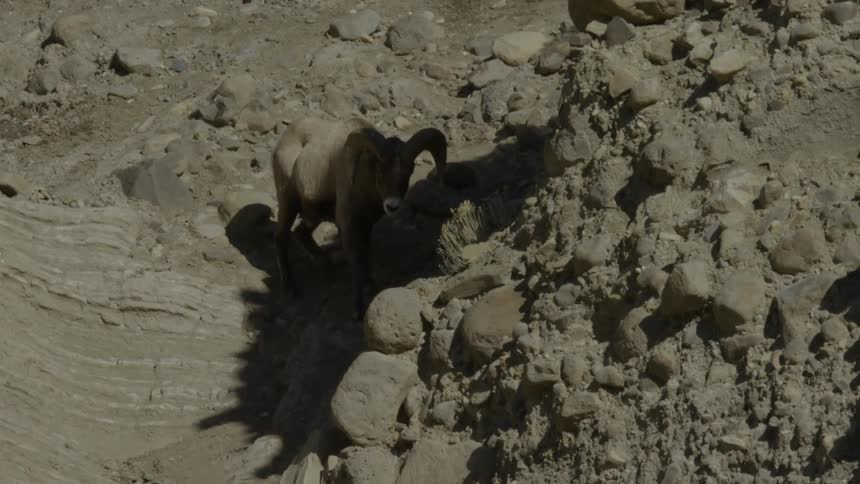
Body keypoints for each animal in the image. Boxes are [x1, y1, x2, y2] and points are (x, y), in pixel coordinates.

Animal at [271, 116, 447, 320]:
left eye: (409, 170)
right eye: (380, 170)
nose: (392, 206)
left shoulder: (366, 227)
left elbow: (365, 255)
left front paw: (370, 286)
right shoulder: (348, 227)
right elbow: (356, 262)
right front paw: (358, 310)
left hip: (313, 216)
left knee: (301, 232)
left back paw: (325, 264)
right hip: (288, 204)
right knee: (281, 238)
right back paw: (289, 288)